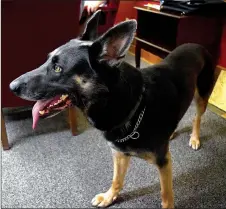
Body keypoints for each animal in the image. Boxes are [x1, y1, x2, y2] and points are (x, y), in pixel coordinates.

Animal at [9, 11, 215, 207]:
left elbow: (166, 195)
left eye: (58, 68)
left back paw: (195, 138)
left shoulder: (163, 163)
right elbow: (116, 179)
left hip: (201, 97)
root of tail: (197, 45)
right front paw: (109, 197)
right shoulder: (119, 153)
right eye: (47, 61)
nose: (11, 86)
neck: (132, 107)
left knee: (197, 117)